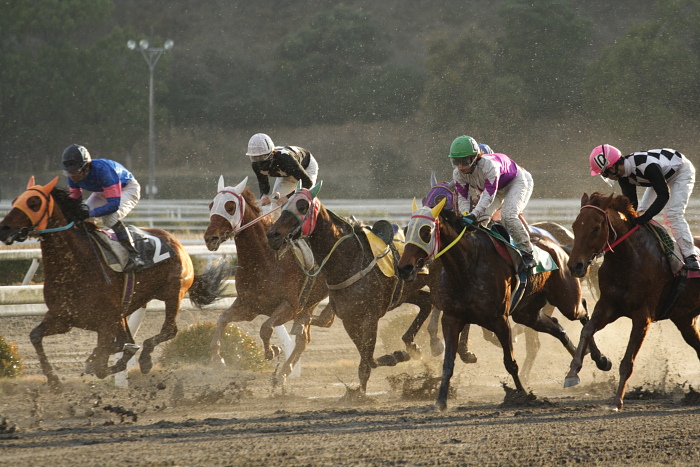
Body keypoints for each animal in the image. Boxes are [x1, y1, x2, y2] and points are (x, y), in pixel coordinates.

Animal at [0, 177, 224, 390]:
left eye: (34, 203)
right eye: (14, 201)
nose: (4, 228)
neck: (77, 265)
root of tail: (175, 241)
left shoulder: (106, 322)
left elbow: (103, 364)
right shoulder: (62, 318)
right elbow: (35, 336)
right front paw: (54, 381)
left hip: (172, 293)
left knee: (169, 330)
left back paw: (144, 359)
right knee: (129, 337)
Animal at [204, 177, 332, 386]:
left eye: (230, 207)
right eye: (211, 205)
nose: (210, 238)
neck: (265, 260)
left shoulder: (290, 306)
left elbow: (265, 328)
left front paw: (272, 351)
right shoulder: (248, 306)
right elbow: (222, 319)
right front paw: (218, 359)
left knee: (313, 329)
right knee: (306, 335)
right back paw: (285, 369)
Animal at [266, 183, 434, 394]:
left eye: (302, 206)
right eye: (283, 205)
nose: (272, 235)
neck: (349, 260)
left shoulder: (370, 317)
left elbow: (368, 360)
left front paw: (393, 359)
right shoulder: (349, 318)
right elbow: (366, 359)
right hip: (407, 293)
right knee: (426, 302)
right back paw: (412, 345)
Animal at [396, 199, 608, 412]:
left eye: (426, 231)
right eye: (407, 230)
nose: (403, 268)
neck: (468, 265)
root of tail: (560, 247)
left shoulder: (500, 320)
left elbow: (510, 362)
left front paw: (522, 395)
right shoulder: (451, 319)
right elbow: (448, 363)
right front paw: (440, 401)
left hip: (567, 300)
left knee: (583, 312)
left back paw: (600, 359)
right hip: (527, 313)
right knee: (558, 327)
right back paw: (576, 367)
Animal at [568, 192, 700, 412]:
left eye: (596, 227)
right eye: (575, 225)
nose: (575, 266)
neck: (628, 259)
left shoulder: (642, 316)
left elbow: (627, 361)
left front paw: (616, 401)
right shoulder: (608, 306)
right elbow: (586, 330)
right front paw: (572, 373)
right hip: (684, 320)